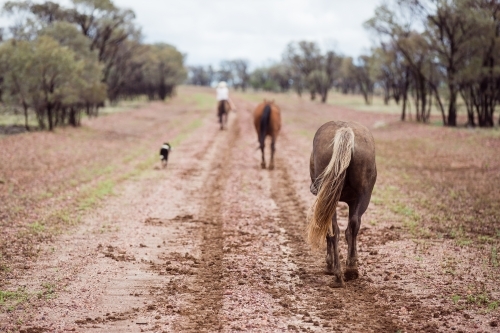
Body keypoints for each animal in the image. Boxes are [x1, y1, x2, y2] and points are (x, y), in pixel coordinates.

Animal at [306, 120, 376, 286]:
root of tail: (345, 131)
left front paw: (329, 265)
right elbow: (350, 230)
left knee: (333, 230)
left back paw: (337, 273)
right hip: (364, 196)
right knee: (353, 225)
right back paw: (350, 269)